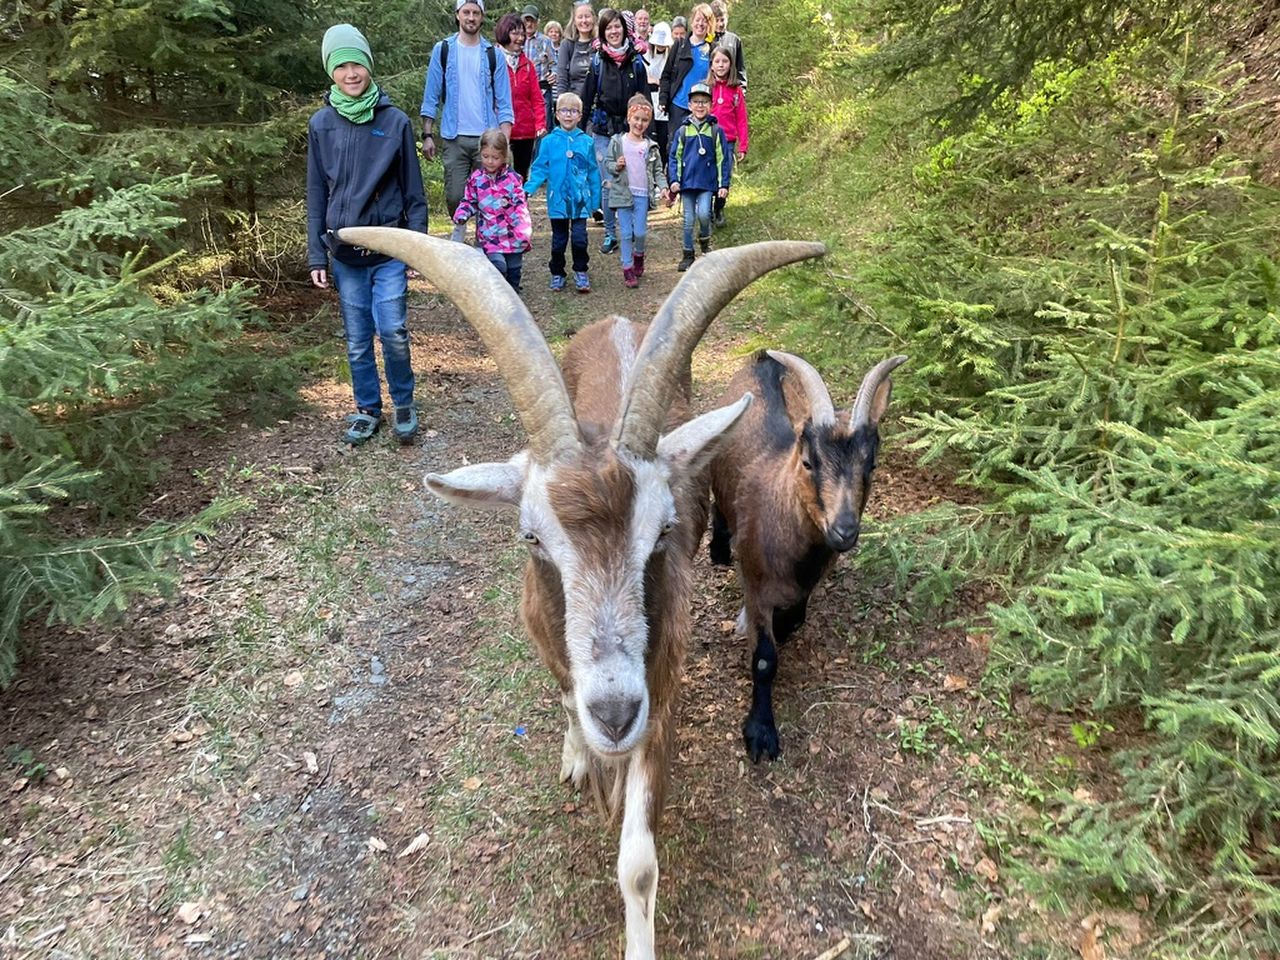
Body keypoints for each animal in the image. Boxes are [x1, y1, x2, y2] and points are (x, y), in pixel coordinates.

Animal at [335, 227, 824, 960]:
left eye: (665, 530)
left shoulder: (662, 682)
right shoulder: (550, 639)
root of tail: (618, 321)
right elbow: (565, 695)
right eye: (531, 536)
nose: (615, 715)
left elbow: (640, 863)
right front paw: (576, 753)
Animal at [706, 350, 906, 762]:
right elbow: (764, 658)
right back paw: (718, 550)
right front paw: (761, 733)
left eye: (872, 465)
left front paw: (781, 629)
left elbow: (795, 618)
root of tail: (762, 357)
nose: (844, 530)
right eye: (809, 462)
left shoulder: (807, 584)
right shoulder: (755, 583)